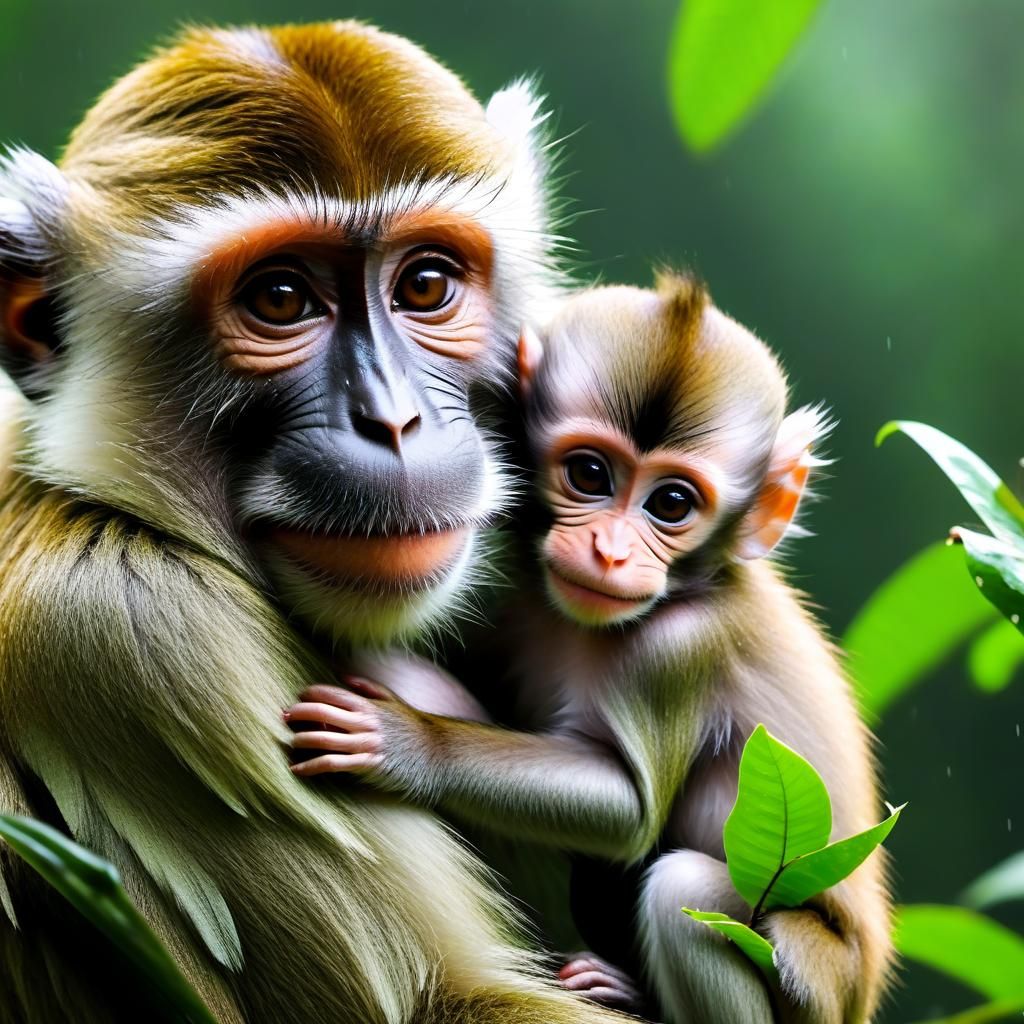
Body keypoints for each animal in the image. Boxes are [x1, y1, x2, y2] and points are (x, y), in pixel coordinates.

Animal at [285, 274, 895, 1024]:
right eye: (589, 474)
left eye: (671, 504)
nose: (609, 550)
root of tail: (862, 990)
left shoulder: (676, 651)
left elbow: (629, 810)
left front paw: (408, 741)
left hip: (815, 977)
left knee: (681, 891)